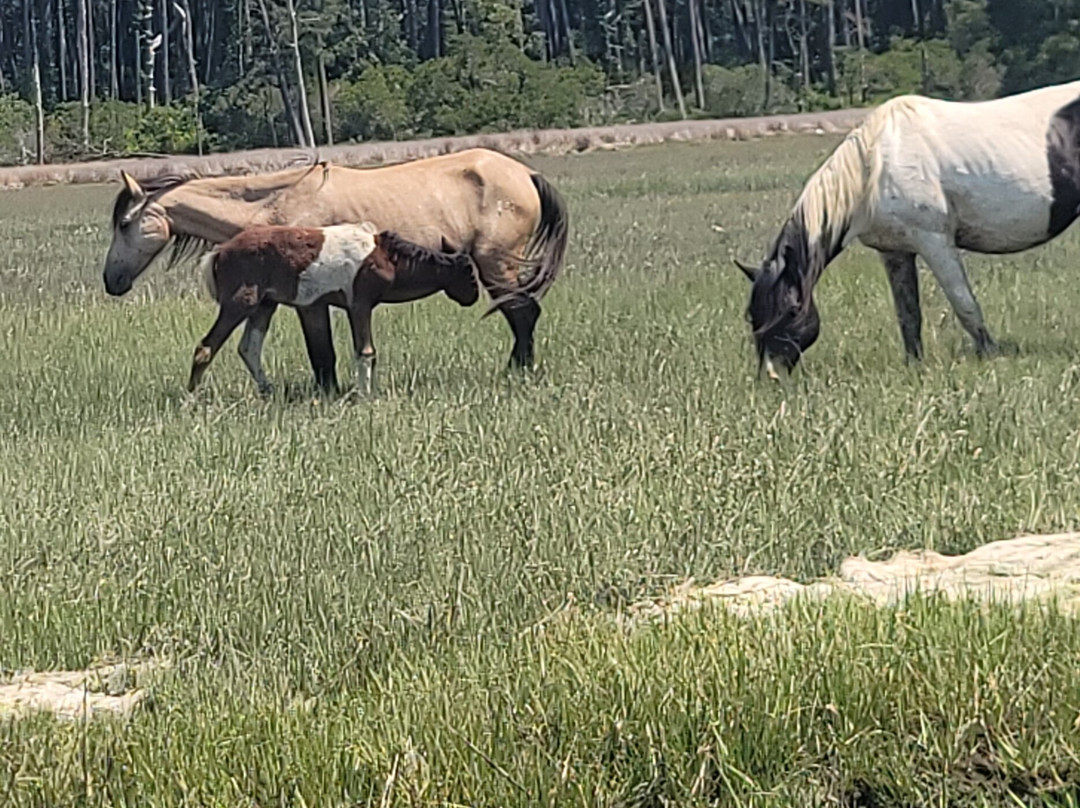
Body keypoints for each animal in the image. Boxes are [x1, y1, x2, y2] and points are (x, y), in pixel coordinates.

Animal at [189, 222, 479, 396]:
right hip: (239, 304)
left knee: (249, 348)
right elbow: (365, 351)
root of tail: (220, 251)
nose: (474, 296)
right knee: (206, 347)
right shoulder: (359, 305)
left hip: (264, 306)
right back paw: (192, 396)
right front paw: (365, 396)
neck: (387, 258)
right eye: (469, 272)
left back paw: (269, 391)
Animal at [737, 79, 1080, 378]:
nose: (772, 376)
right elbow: (908, 315)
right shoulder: (895, 252)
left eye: (792, 311)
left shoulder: (935, 242)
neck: (875, 166)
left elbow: (964, 304)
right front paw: (914, 365)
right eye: (753, 316)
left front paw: (990, 356)